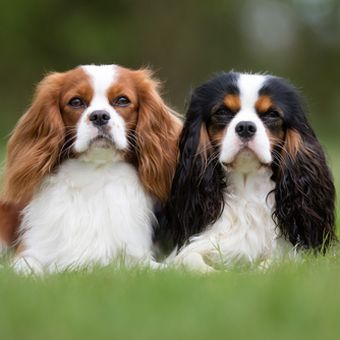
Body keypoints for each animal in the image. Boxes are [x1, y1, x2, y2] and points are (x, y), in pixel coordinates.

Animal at [0, 63, 182, 274]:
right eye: (76, 102)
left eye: (122, 100)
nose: (99, 116)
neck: (95, 173)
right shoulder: (29, 252)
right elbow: (27, 269)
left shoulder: (135, 256)